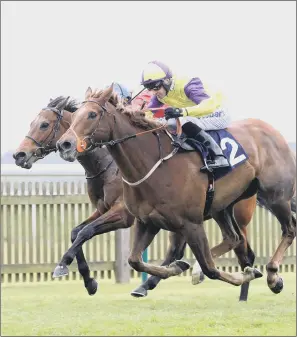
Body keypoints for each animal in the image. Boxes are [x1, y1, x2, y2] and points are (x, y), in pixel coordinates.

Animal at [56, 85, 294, 292]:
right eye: (75, 116)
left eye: (92, 114)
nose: (64, 144)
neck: (155, 163)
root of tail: (275, 133)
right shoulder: (147, 222)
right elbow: (134, 260)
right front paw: (177, 267)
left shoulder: (190, 224)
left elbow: (210, 268)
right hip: (222, 206)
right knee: (234, 239)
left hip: (276, 197)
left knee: (289, 229)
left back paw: (273, 275)